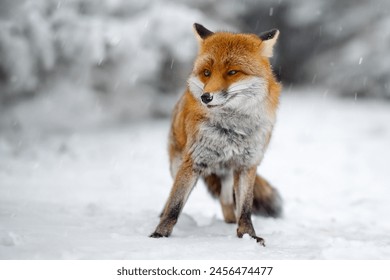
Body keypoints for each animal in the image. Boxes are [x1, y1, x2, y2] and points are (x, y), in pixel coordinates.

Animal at [149, 23, 280, 245]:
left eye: (233, 72)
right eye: (207, 72)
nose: (205, 97)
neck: (231, 130)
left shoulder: (247, 164)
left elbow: (245, 209)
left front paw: (248, 235)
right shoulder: (193, 161)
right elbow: (174, 205)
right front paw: (159, 235)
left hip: (228, 176)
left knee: (227, 203)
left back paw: (229, 222)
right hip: (176, 165)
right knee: (170, 196)